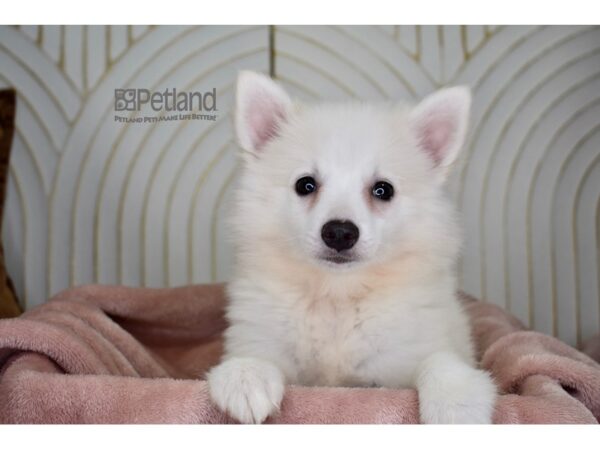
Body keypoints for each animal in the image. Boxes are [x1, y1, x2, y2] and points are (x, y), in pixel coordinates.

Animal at [206, 72, 496, 424]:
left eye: (383, 190)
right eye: (305, 185)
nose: (340, 233)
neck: (338, 296)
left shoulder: (407, 353)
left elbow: (440, 362)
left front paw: (456, 405)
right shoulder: (261, 335)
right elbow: (256, 355)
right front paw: (246, 377)